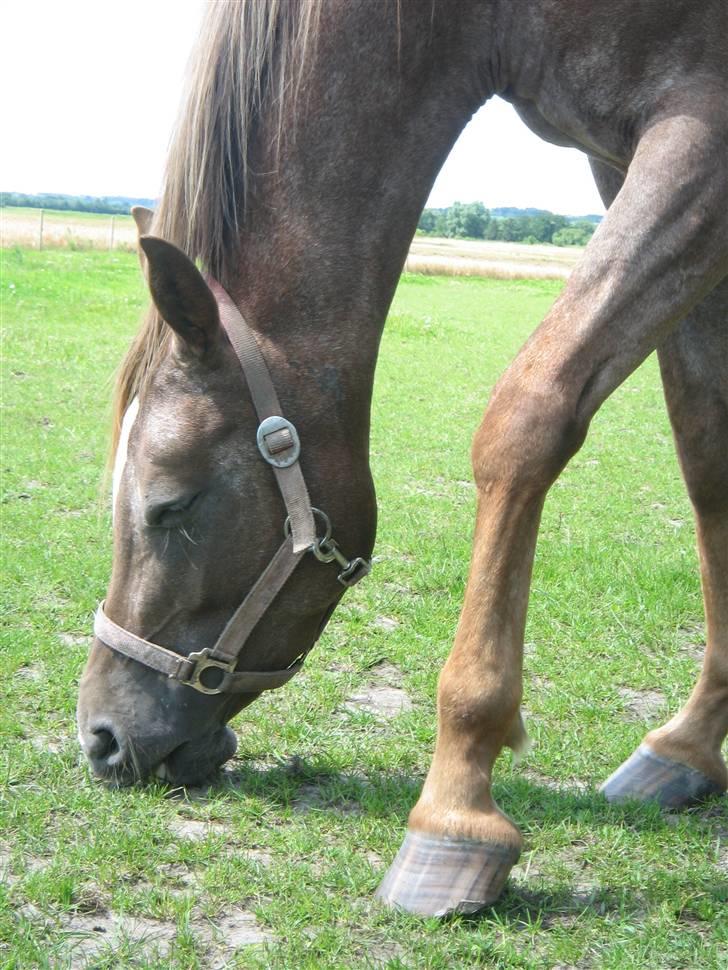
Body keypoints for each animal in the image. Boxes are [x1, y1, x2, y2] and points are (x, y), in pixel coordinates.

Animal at [75, 0, 728, 916]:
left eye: (171, 505)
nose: (99, 737)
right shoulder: (621, 162)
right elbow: (707, 454)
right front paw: (691, 744)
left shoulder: (702, 130)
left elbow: (527, 417)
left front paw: (455, 808)